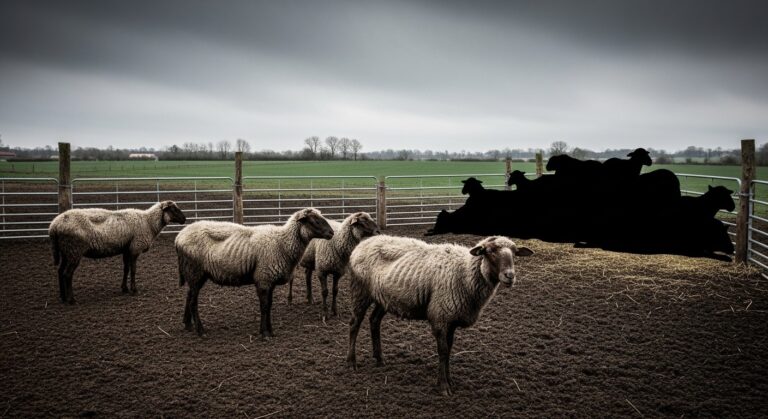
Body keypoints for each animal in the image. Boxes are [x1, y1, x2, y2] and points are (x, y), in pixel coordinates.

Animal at [48, 201, 186, 304]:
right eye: (174, 209)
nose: (184, 219)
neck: (148, 222)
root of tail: (54, 226)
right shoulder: (135, 248)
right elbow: (133, 270)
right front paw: (134, 289)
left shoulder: (126, 249)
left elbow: (126, 269)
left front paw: (124, 288)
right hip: (74, 250)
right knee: (67, 274)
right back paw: (71, 299)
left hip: (66, 251)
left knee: (60, 271)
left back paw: (63, 297)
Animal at [174, 208, 334, 338]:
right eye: (314, 221)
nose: (331, 233)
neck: (282, 243)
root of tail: (179, 237)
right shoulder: (263, 279)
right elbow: (264, 307)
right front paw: (264, 333)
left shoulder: (269, 281)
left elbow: (269, 306)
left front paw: (270, 331)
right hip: (195, 271)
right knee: (193, 302)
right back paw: (200, 331)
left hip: (194, 274)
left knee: (189, 296)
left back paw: (188, 325)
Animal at [346, 235, 533, 396]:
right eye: (491, 251)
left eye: (515, 253)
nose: (510, 276)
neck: (465, 272)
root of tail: (362, 244)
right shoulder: (440, 317)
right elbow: (442, 351)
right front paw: (443, 386)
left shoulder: (451, 320)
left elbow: (449, 350)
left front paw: (449, 380)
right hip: (360, 290)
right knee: (354, 324)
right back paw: (351, 363)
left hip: (383, 297)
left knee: (374, 321)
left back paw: (379, 359)